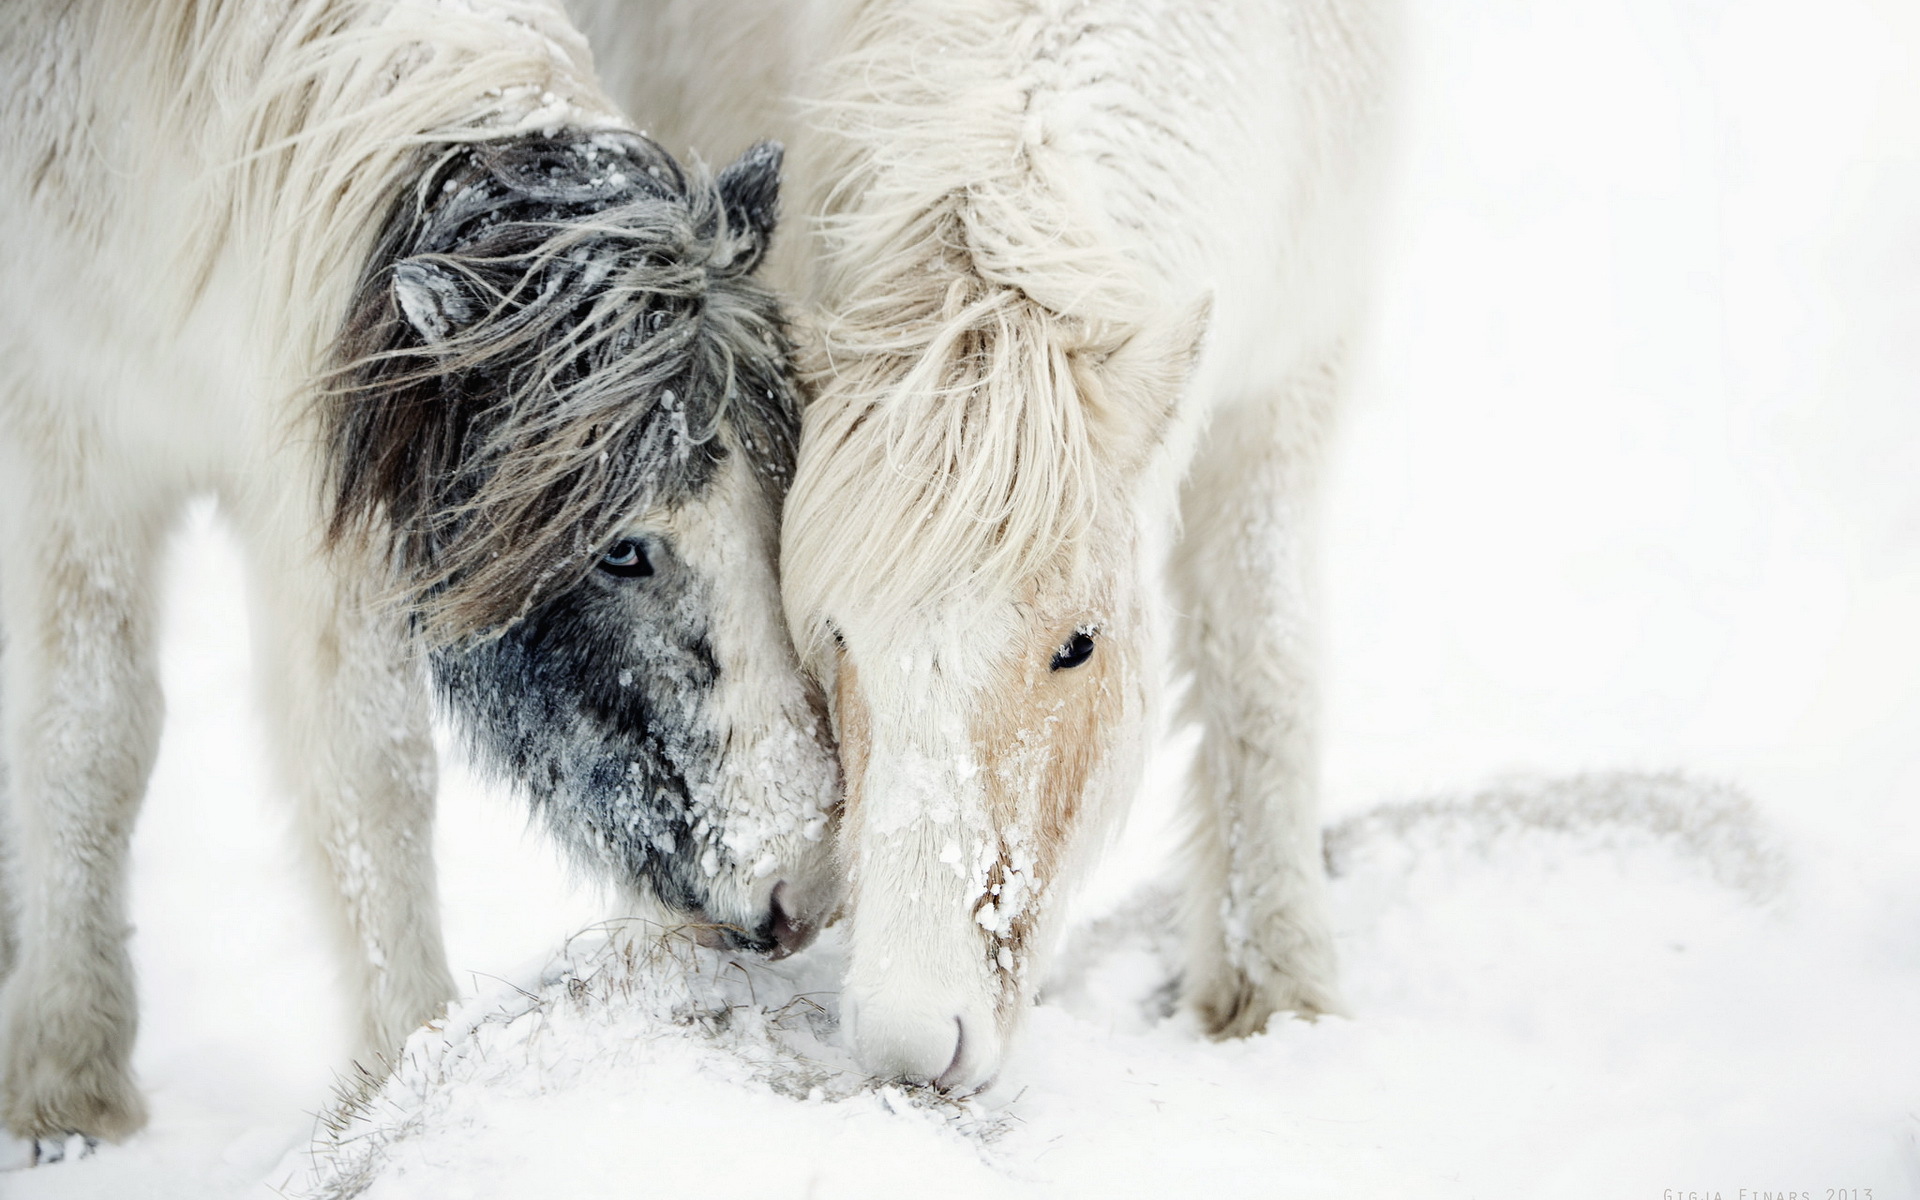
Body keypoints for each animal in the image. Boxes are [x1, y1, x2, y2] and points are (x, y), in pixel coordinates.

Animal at [0, 0, 840, 1151]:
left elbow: (366, 776)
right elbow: (94, 736)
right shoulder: (74, 451)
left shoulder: (328, 514)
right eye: (622, 548)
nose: (807, 891)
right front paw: (69, 1078)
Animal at [571, 0, 1396, 1090]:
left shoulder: (1294, 374)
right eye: (836, 637)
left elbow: (1263, 666)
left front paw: (1279, 991)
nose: (913, 1043)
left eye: (1078, 646)